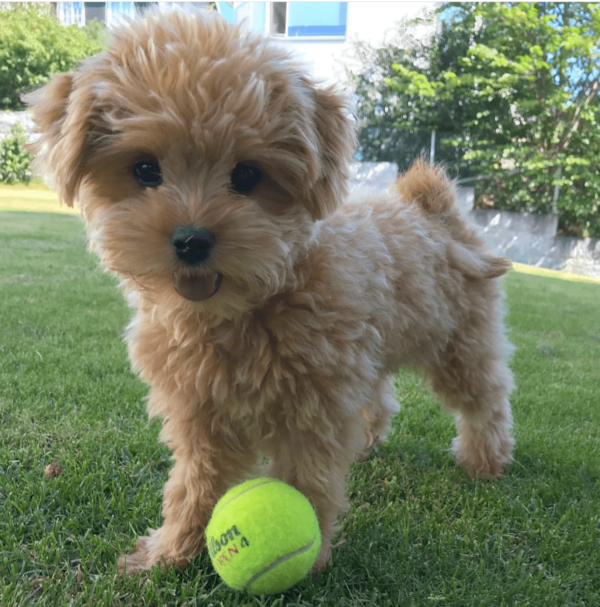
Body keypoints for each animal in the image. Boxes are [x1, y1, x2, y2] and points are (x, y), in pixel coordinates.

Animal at [25, 10, 516, 580]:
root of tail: (432, 210)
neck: (251, 303)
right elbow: (193, 483)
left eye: (247, 175)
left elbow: (308, 480)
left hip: (460, 341)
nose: (191, 240)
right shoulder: (200, 409)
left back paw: (486, 459)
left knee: (485, 398)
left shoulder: (313, 406)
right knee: (380, 395)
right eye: (146, 169)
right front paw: (171, 551)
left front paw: (309, 557)